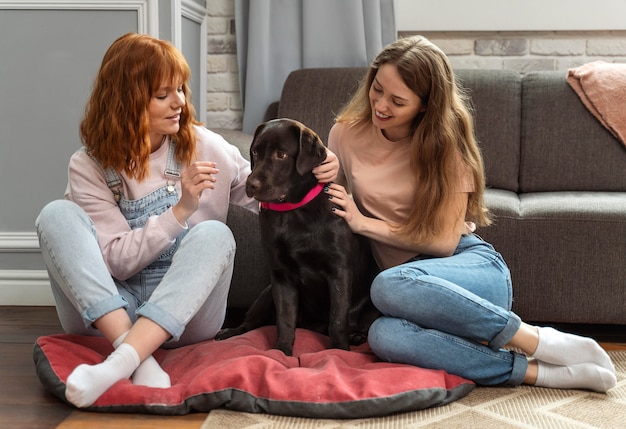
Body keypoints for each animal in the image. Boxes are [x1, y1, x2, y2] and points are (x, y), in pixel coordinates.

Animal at [214, 117, 376, 354]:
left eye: (281, 155)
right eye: (255, 152)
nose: (250, 185)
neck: (293, 212)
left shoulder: (339, 272)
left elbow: (337, 319)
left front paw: (338, 350)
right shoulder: (281, 275)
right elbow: (285, 319)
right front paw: (281, 351)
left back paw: (355, 336)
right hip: (266, 294)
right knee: (249, 322)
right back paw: (230, 332)